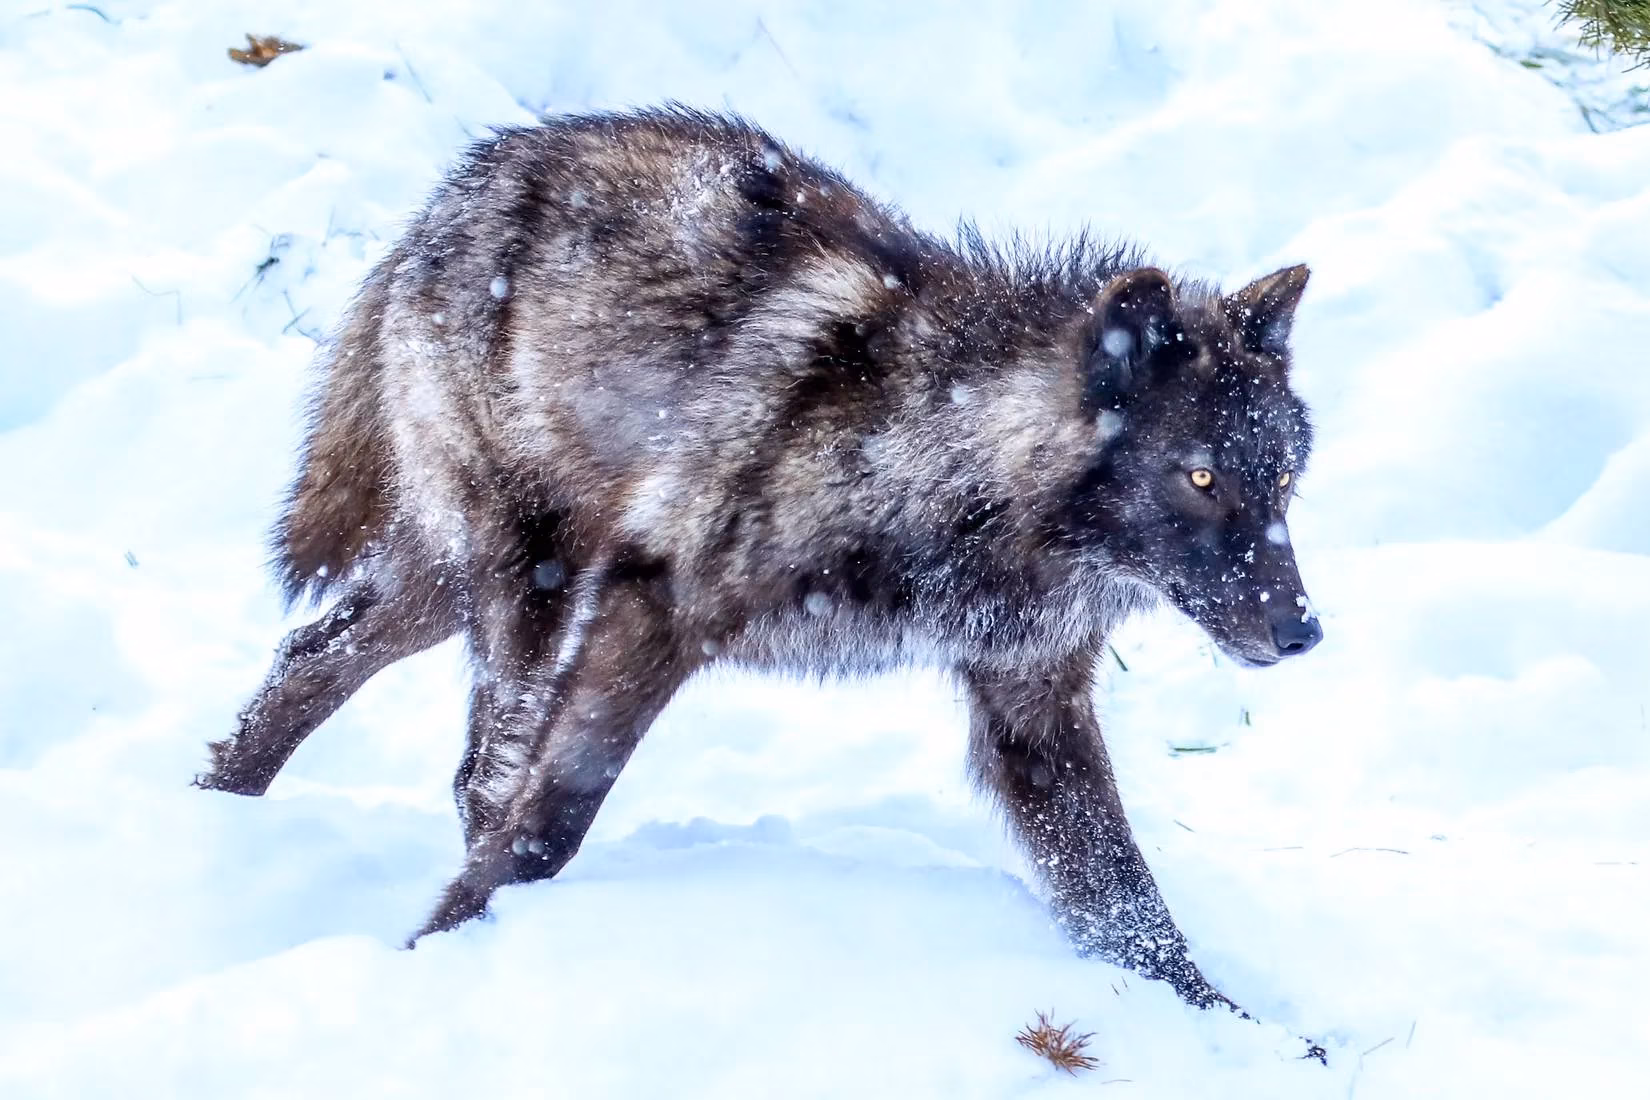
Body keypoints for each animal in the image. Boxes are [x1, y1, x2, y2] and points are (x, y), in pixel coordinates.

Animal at [199, 107, 1322, 1023]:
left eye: (1284, 479)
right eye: (1203, 476)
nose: (1305, 632)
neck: (948, 464)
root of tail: (469, 176)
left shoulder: (1033, 704)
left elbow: (1127, 898)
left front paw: (1232, 1029)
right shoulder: (652, 605)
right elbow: (544, 824)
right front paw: (438, 951)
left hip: (448, 583)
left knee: (315, 655)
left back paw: (209, 810)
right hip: (525, 579)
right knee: (481, 767)